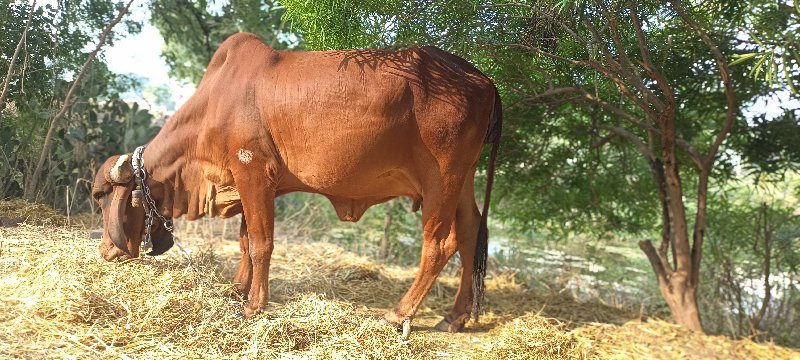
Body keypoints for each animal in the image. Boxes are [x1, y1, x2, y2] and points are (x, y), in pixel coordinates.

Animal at [94, 32, 500, 334]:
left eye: (104, 197)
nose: (106, 251)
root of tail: (482, 80)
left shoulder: (253, 173)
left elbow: (261, 244)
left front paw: (254, 306)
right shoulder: (250, 184)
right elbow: (245, 242)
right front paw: (237, 289)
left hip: (441, 178)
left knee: (439, 245)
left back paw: (401, 313)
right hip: (463, 179)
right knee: (470, 234)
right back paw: (455, 317)